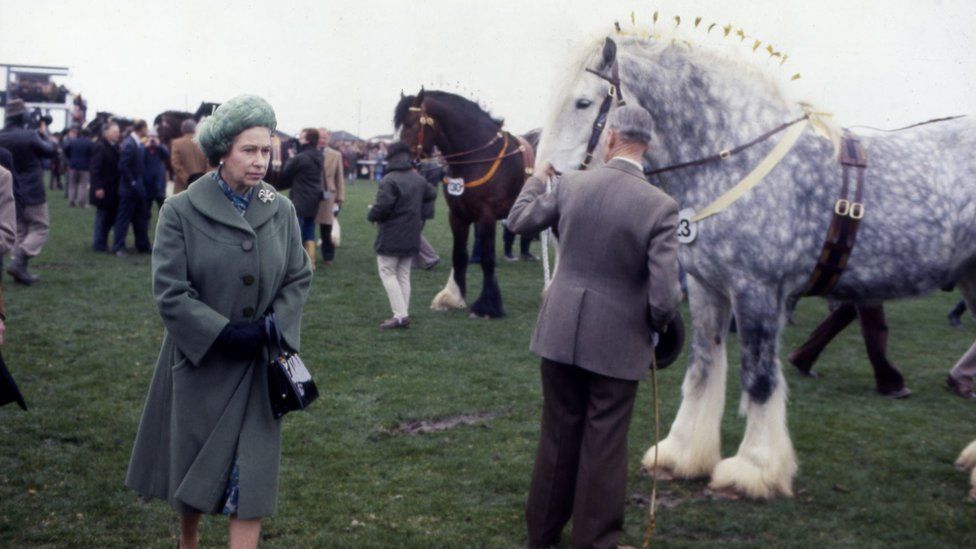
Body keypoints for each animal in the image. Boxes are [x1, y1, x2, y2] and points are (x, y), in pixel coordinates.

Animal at [394, 89, 532, 316]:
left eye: (411, 123)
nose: (404, 160)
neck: (479, 156)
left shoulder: (487, 216)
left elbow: (487, 259)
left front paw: (487, 306)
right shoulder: (457, 216)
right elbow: (459, 255)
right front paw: (453, 297)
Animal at [536, 32, 976, 498]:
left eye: (583, 102)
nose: (545, 178)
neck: (733, 158)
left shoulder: (757, 291)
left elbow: (760, 379)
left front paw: (753, 470)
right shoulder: (706, 288)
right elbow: (702, 369)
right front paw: (681, 455)